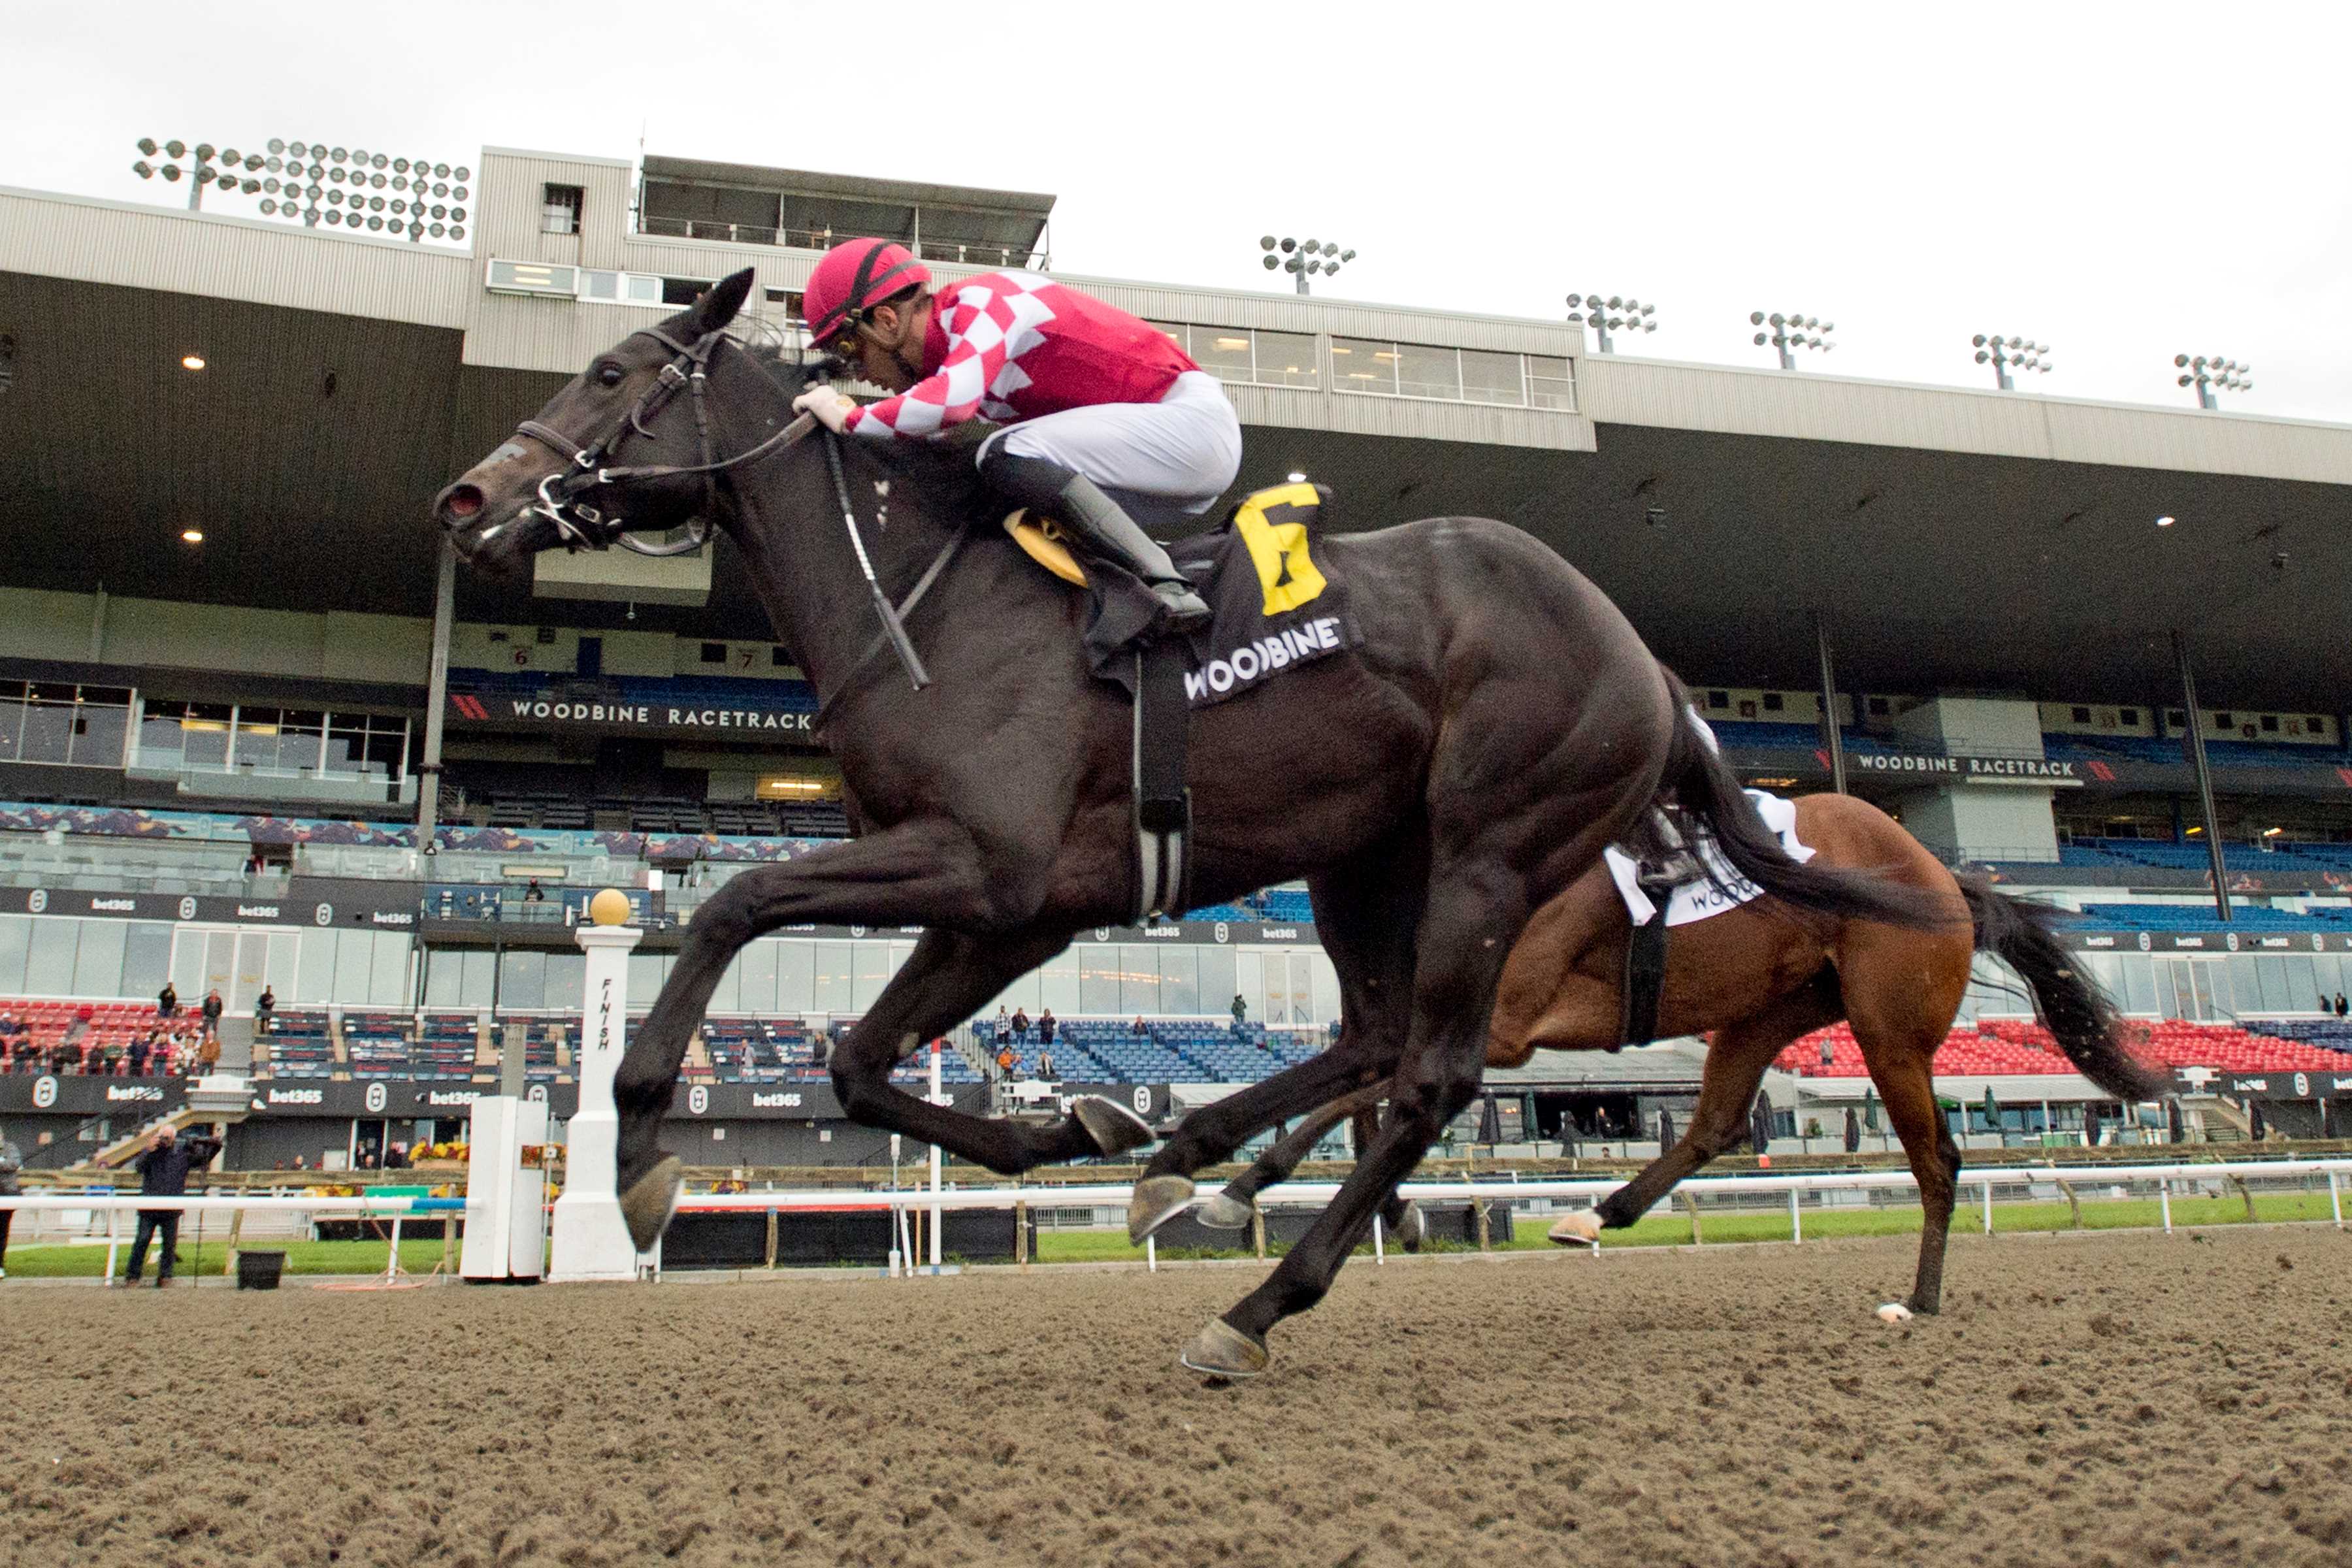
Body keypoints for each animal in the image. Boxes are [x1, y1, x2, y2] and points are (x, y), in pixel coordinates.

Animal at [437, 276, 1947, 1382]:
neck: (927, 599)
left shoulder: (989, 866)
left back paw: (1259, 1299)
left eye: (614, 374)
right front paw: (1078, 1130)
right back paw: (1186, 1165)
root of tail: (1651, 666)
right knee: (1374, 1039)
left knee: (1434, 1073)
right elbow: (858, 1064)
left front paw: (639, 1149)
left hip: (1491, 850)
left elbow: (729, 908)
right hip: (1364, 860)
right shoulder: (1017, 909)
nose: (466, 501)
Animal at [1176, 789, 2164, 1316]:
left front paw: (1241, 1186)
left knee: (1939, 1161)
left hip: (1888, 1032)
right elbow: (1363, 1099)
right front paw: (1349, 1203)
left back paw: (1918, 1301)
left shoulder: (1504, 1022)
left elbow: (1362, 1094)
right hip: (1765, 1012)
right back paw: (1594, 1214)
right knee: (1717, 1125)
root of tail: (1946, 877)